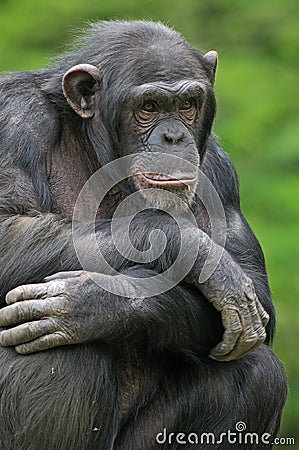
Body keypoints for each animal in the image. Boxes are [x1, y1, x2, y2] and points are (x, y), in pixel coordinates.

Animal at [0, 20, 288, 450]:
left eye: (187, 104)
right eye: (149, 107)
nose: (174, 138)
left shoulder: (219, 169)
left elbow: (257, 295)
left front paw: (92, 305)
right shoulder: (13, 117)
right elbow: (7, 228)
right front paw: (199, 251)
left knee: (259, 375)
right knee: (55, 355)